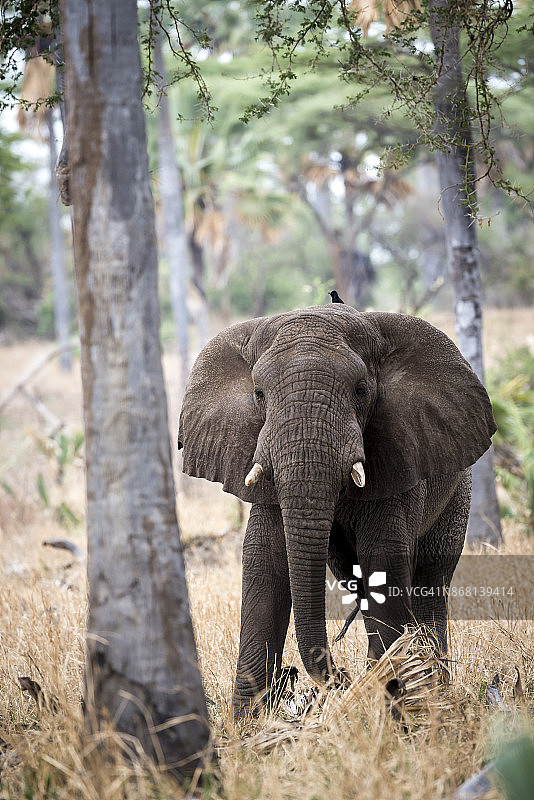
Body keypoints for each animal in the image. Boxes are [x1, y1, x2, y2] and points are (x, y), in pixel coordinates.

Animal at [178, 304, 496, 718]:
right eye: (258, 394)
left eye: (361, 390)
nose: (339, 676)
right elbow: (266, 561)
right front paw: (250, 725)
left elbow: (384, 558)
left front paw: (391, 705)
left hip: (459, 491)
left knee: (432, 581)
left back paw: (432, 693)